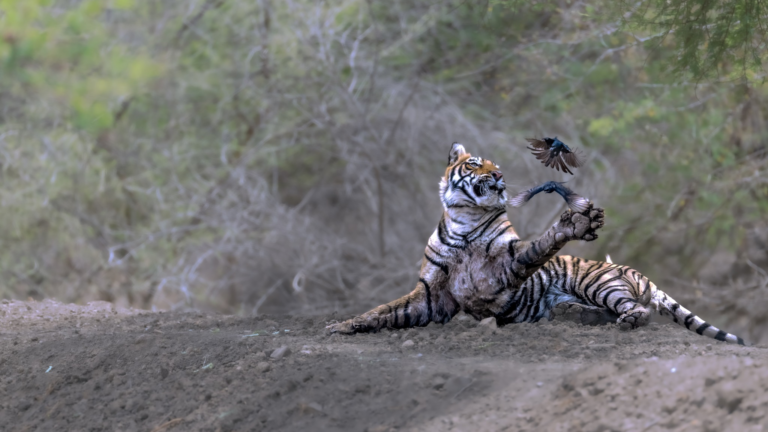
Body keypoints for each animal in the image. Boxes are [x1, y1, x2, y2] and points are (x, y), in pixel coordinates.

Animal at [326, 143, 746, 345]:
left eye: (495, 166)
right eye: (475, 163)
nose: (498, 176)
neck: (466, 220)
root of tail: (630, 269)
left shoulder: (503, 271)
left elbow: (539, 246)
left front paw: (576, 221)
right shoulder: (431, 295)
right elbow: (384, 310)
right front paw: (341, 326)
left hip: (600, 283)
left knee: (634, 309)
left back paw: (621, 319)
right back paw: (574, 314)